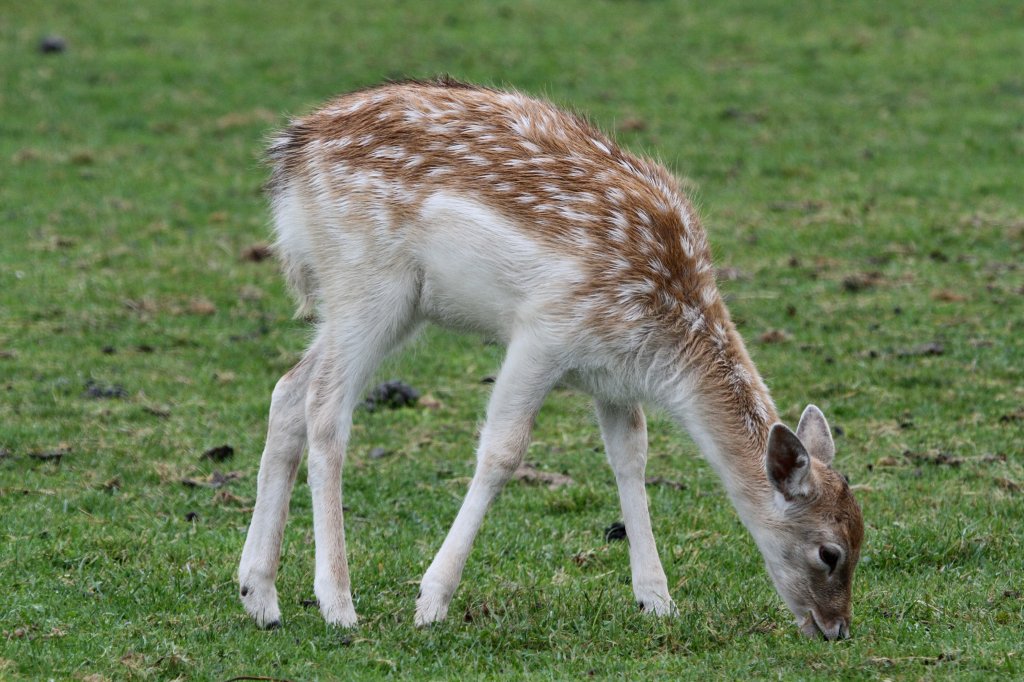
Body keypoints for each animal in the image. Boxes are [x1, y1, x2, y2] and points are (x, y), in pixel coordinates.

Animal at [239, 76, 864, 638]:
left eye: (864, 538)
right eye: (829, 552)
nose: (835, 629)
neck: (664, 337)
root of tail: (290, 153)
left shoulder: (612, 378)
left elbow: (631, 456)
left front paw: (657, 601)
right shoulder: (544, 331)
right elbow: (502, 452)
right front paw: (431, 602)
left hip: (385, 304)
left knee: (288, 389)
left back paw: (259, 595)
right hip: (369, 281)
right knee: (326, 409)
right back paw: (338, 605)